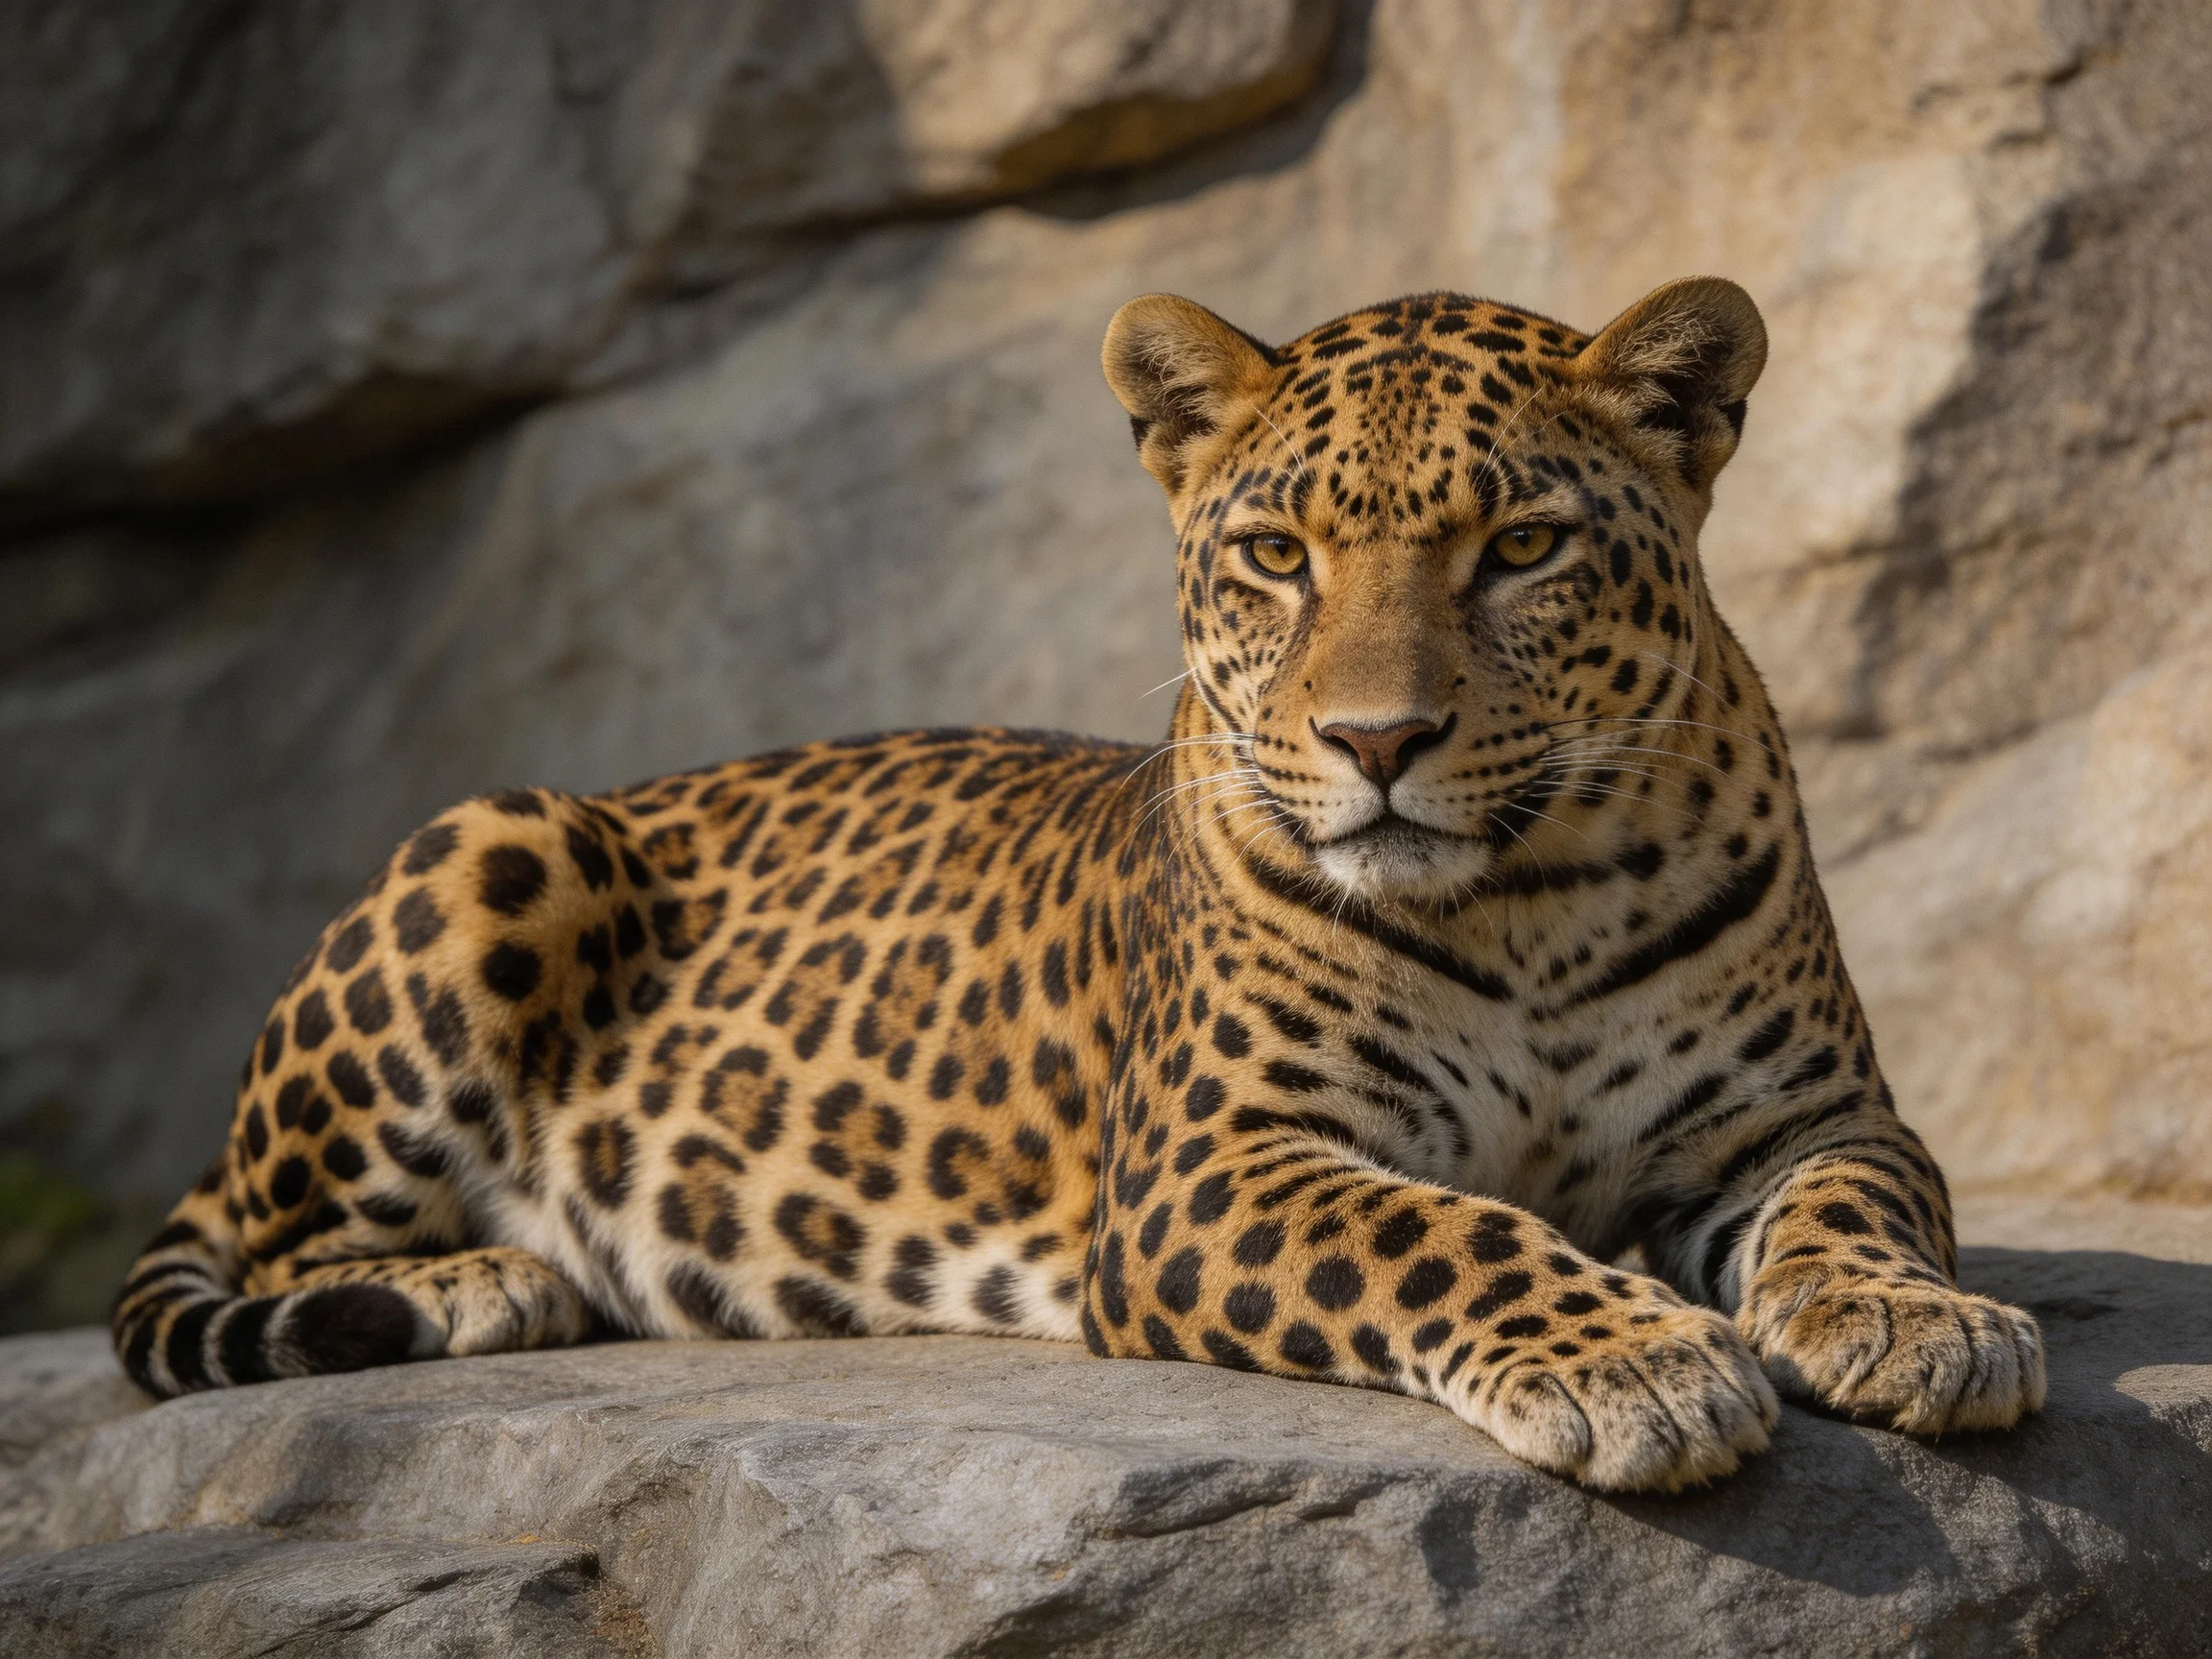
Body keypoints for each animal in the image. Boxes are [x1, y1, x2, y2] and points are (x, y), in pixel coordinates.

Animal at [111, 275, 2045, 1492]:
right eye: (1275, 555)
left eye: (1520, 547)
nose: (1378, 740)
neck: (1528, 897)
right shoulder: (1212, 1161)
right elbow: (1442, 1225)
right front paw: (1628, 1363)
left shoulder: (1803, 1117)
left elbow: (1858, 1202)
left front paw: (1917, 1326)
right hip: (490, 840)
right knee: (279, 1249)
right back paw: (494, 1283)